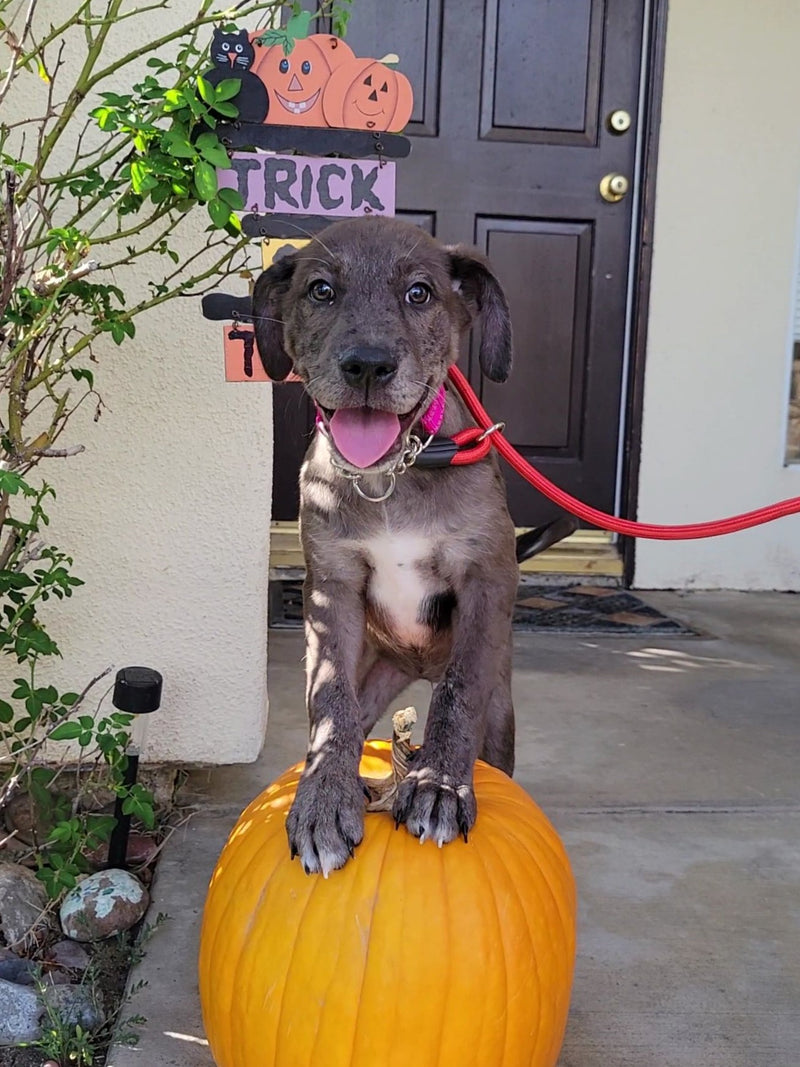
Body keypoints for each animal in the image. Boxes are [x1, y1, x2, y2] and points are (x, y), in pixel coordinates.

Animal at [254, 214, 520, 874]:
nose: (368, 367)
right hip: (375, 672)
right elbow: (329, 703)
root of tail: (415, 665)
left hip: (500, 711)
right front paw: (323, 801)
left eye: (419, 293)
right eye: (321, 290)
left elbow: (459, 691)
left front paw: (440, 785)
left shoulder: (488, 578)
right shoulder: (330, 592)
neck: (391, 476)